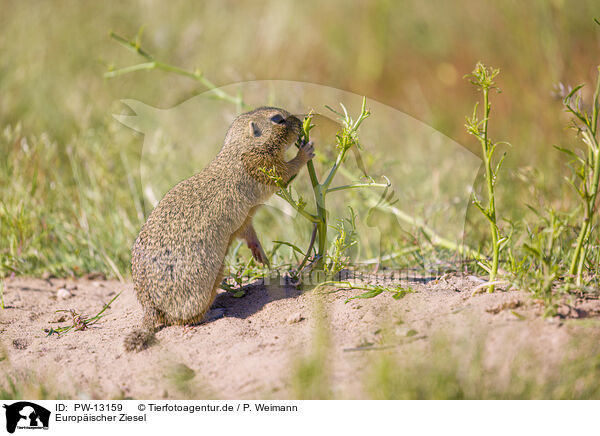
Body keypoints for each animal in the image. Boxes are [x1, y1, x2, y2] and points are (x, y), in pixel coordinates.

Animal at [125, 106, 316, 350]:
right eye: (278, 119)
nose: (301, 122)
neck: (240, 148)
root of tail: (149, 306)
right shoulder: (263, 166)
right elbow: (286, 171)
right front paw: (306, 151)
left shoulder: (245, 218)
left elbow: (248, 233)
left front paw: (260, 255)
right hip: (208, 281)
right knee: (185, 320)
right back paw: (215, 312)